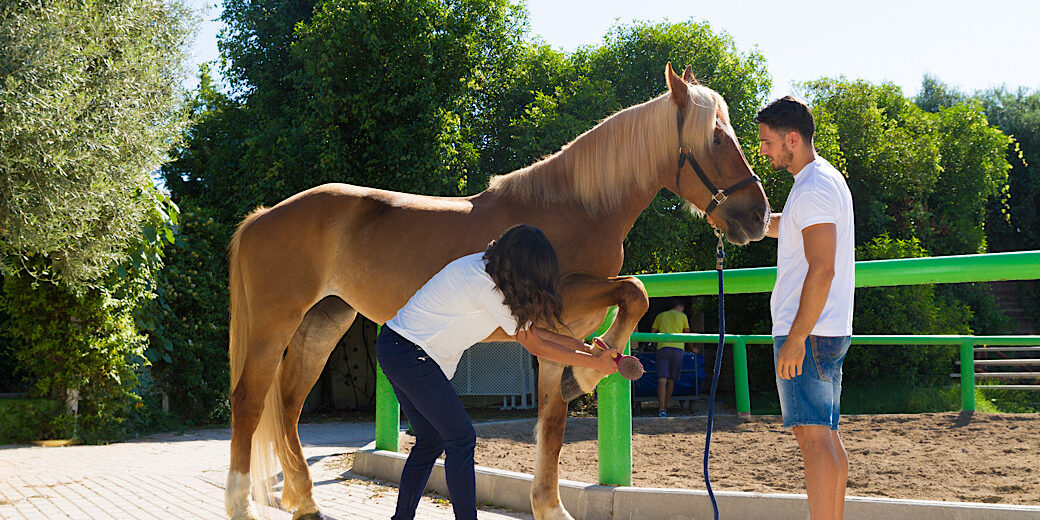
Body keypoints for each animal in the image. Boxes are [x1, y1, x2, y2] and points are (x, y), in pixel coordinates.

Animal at [224, 63, 769, 520]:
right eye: (716, 137)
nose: (758, 216)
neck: (575, 208)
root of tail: (261, 217)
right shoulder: (564, 303)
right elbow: (635, 291)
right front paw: (594, 369)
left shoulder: (558, 333)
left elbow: (552, 422)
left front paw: (551, 504)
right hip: (275, 323)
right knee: (249, 400)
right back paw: (242, 506)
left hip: (325, 319)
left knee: (288, 403)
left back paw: (305, 502)